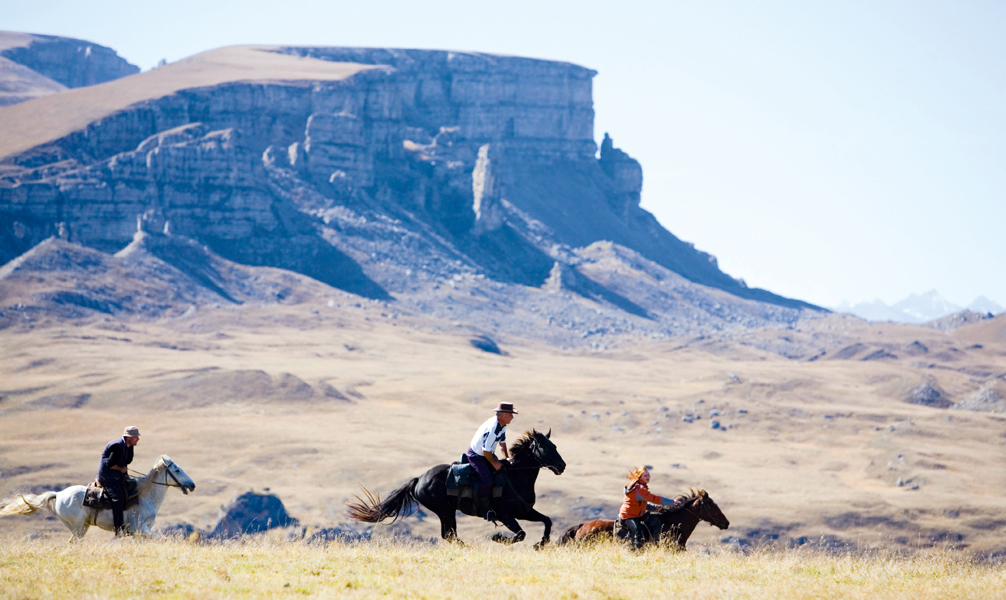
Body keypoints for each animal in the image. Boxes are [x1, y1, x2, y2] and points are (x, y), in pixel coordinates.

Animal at [0, 453, 194, 539]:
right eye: (177, 470)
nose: (192, 485)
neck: (145, 495)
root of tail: (59, 494)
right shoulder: (141, 528)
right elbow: (162, 538)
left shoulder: (139, 533)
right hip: (78, 527)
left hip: (80, 528)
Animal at [346, 428, 567, 551]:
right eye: (546, 447)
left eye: (555, 445)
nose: (561, 466)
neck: (516, 476)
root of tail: (419, 479)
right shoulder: (505, 515)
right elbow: (520, 534)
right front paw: (498, 538)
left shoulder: (524, 512)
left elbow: (547, 521)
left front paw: (541, 544)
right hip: (445, 510)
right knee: (449, 534)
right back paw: (470, 548)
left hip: (447, 511)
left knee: (448, 535)